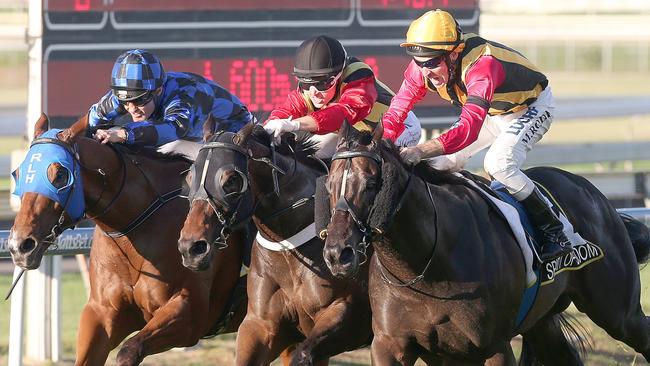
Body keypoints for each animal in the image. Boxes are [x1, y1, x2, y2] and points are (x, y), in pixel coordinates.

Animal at [8, 113, 247, 364]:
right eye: (18, 174)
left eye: (61, 175)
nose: (19, 246)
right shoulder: (102, 312)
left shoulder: (189, 313)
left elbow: (129, 351)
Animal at [175, 121, 372, 364]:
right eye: (189, 178)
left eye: (231, 180)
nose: (191, 247)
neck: (288, 248)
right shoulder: (260, 324)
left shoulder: (346, 316)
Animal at [320, 121, 648, 364]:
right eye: (329, 185)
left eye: (370, 183)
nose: (338, 254)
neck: (427, 266)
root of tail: (592, 192)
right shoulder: (392, 345)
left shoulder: (493, 348)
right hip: (542, 323)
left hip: (618, 312)